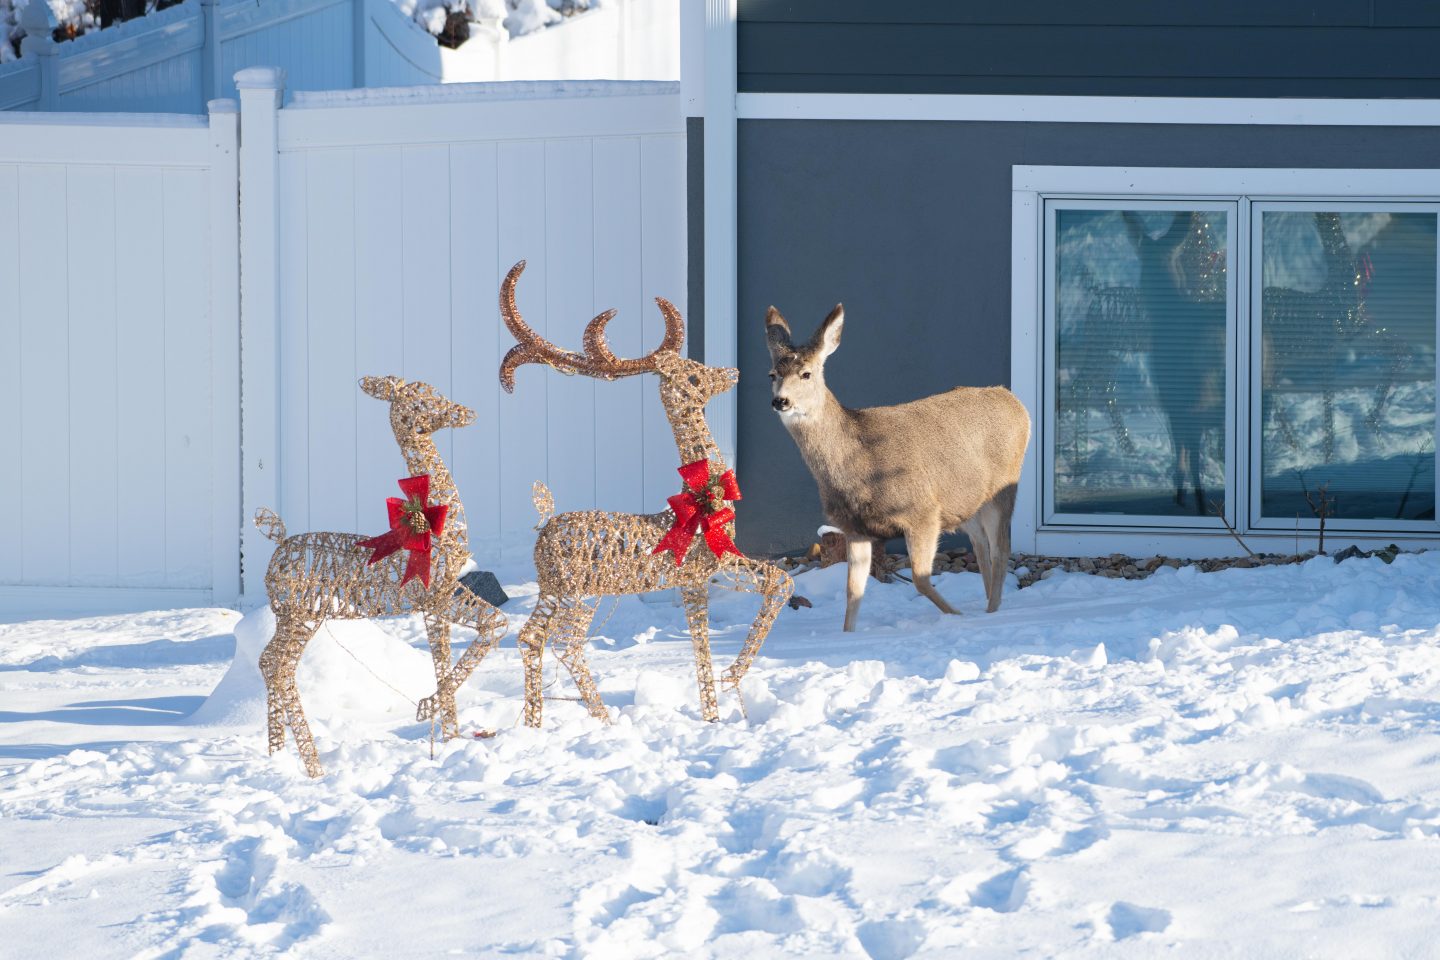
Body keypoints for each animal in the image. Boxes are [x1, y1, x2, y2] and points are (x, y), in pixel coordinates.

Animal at [254, 371, 512, 777]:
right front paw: (425, 709)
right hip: (303, 614)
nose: (465, 412)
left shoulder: (438, 605)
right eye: (428, 398)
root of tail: (277, 544)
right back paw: (314, 768)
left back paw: (278, 756)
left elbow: (451, 656)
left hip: (290, 616)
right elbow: (488, 631)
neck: (437, 527)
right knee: (279, 666)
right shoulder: (436, 599)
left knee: (269, 663)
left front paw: (450, 739)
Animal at [504, 263, 800, 728]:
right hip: (578, 591)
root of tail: (543, 528)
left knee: (532, 637)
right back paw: (596, 719)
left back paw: (542, 724)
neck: (701, 494)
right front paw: (727, 688)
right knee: (563, 642)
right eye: (694, 372)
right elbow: (775, 588)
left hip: (554, 588)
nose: (731, 372)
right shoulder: (708, 567)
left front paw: (714, 711)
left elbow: (712, 632)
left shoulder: (701, 575)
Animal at [771, 306, 1031, 630]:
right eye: (772, 374)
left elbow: (920, 579)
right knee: (982, 545)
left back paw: (992, 611)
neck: (858, 464)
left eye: (806, 373)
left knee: (1001, 548)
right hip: (966, 501)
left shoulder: (922, 511)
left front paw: (957, 616)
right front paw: (848, 635)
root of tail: (1016, 402)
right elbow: (853, 592)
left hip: (1004, 487)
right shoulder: (855, 528)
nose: (780, 400)